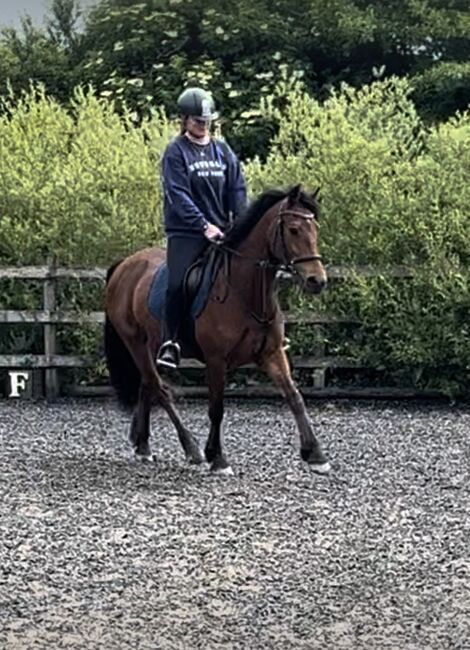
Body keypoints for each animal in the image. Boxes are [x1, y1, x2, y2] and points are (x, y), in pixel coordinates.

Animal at [103, 181, 330, 470]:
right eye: (294, 229)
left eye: (315, 229)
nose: (317, 281)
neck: (245, 292)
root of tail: (125, 265)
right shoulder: (216, 359)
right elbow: (217, 408)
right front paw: (217, 457)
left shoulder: (272, 353)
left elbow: (294, 396)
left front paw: (315, 454)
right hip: (135, 343)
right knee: (158, 388)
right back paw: (191, 448)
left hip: (151, 345)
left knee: (148, 385)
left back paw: (143, 445)